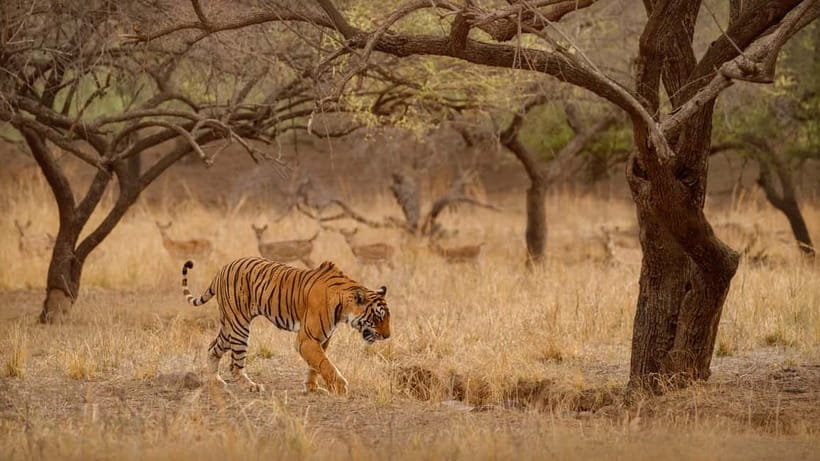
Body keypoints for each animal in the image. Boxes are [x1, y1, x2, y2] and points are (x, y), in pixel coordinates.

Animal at [181, 256, 390, 394]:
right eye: (378, 317)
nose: (387, 336)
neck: (344, 310)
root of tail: (222, 269)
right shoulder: (307, 339)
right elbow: (325, 363)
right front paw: (340, 387)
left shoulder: (322, 339)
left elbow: (316, 364)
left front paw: (313, 387)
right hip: (239, 326)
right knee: (235, 364)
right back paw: (251, 386)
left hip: (229, 325)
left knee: (212, 348)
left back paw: (215, 381)